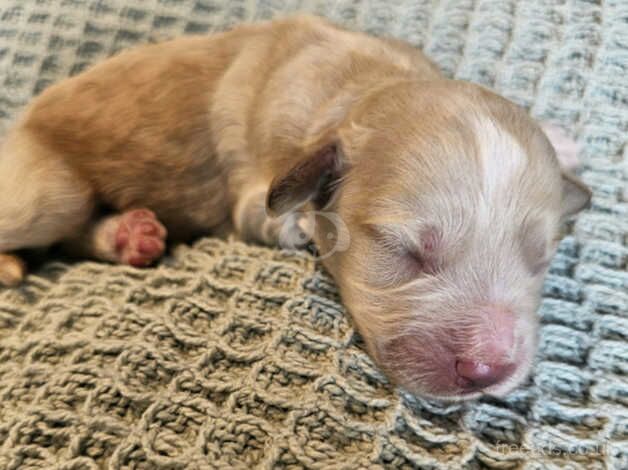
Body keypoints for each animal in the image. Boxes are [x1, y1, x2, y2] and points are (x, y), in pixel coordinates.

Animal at [0, 16, 588, 402]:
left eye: (540, 259)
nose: (489, 369)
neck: (364, 87)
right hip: (48, 188)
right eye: (402, 250)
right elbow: (278, 216)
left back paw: (131, 234)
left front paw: (562, 139)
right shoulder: (255, 192)